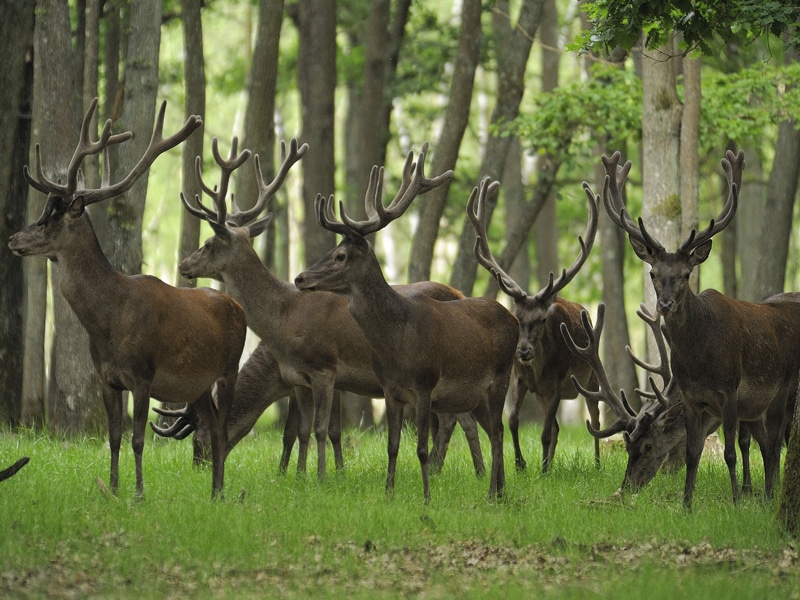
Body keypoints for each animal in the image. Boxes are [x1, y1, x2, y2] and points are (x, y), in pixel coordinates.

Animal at [7, 101, 245, 500]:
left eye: (48, 221)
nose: (12, 239)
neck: (107, 322)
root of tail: (239, 308)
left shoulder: (143, 375)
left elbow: (137, 439)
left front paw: (138, 495)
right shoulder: (106, 377)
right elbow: (115, 438)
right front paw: (114, 490)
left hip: (228, 369)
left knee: (223, 424)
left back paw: (221, 493)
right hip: (196, 385)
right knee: (211, 424)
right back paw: (214, 492)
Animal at [177, 139, 488, 478]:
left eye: (208, 244)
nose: (183, 265)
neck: (283, 318)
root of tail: (459, 293)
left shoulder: (325, 368)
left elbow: (321, 429)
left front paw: (323, 477)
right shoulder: (299, 378)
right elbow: (301, 431)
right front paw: (301, 475)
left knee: (458, 419)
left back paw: (451, 470)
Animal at [296, 144, 520, 502]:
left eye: (340, 256)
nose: (300, 278)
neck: (396, 342)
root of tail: (512, 317)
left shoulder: (425, 385)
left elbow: (422, 449)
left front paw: (426, 497)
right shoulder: (390, 390)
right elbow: (393, 446)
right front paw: (388, 494)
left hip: (500, 378)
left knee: (499, 433)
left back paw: (491, 495)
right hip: (478, 394)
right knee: (493, 430)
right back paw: (499, 491)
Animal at [468, 176, 600, 472]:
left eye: (542, 319)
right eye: (516, 316)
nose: (523, 351)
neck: (539, 370)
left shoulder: (558, 382)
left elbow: (545, 432)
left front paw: (540, 469)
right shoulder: (520, 379)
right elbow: (514, 421)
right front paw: (521, 464)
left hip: (592, 377)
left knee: (595, 419)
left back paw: (596, 464)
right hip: (543, 394)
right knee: (559, 429)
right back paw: (548, 463)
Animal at [596, 149, 800, 506]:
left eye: (686, 274)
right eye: (653, 273)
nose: (664, 304)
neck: (699, 361)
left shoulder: (731, 391)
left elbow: (732, 451)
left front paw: (737, 499)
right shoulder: (694, 399)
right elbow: (694, 453)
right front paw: (687, 504)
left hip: (783, 391)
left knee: (777, 443)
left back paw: (769, 493)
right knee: (771, 444)